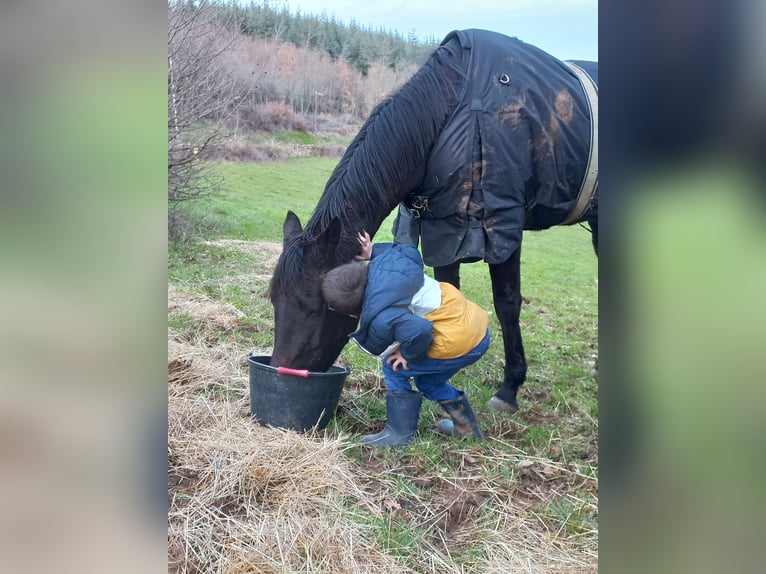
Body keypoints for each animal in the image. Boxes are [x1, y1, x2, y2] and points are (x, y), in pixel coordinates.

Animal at [270, 30, 600, 414]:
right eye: (273, 300)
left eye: (315, 309)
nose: (282, 372)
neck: (449, 111)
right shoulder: (445, 227)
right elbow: (447, 291)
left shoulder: (500, 227)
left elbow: (507, 304)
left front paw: (509, 388)